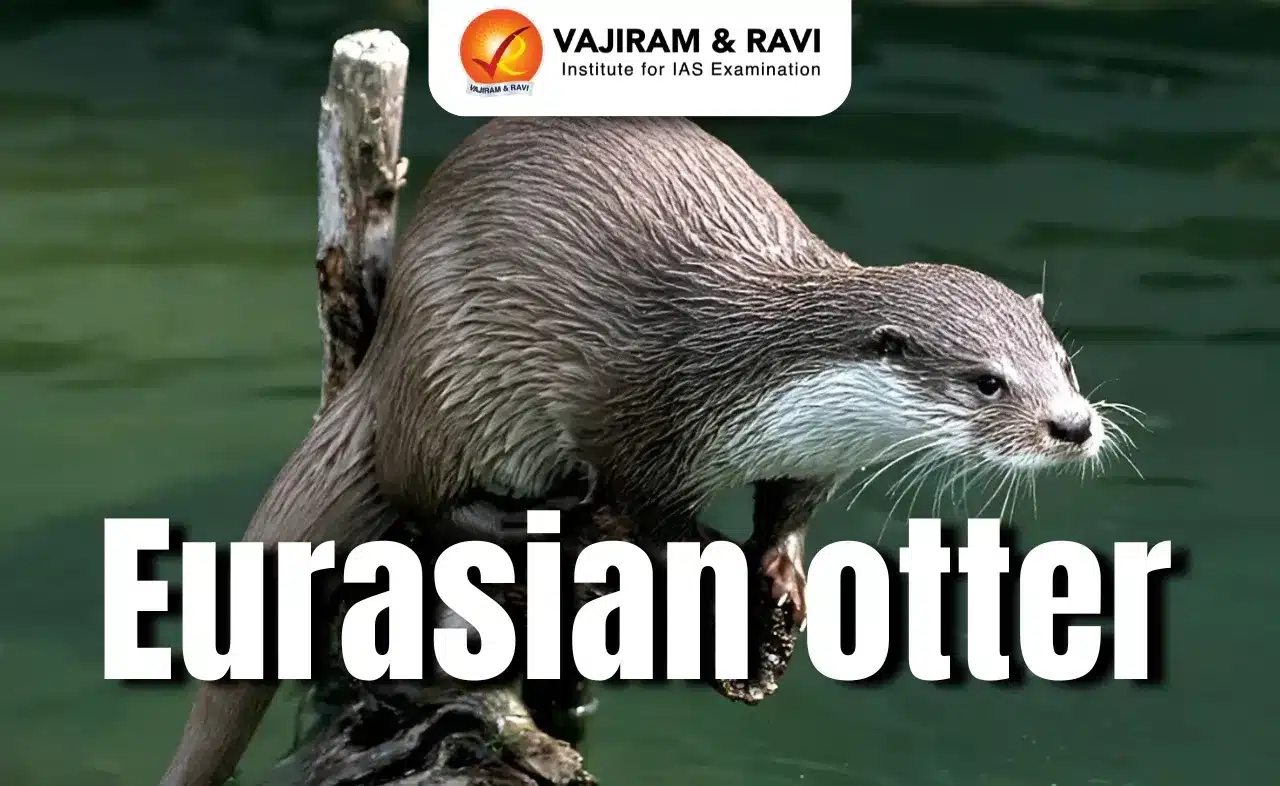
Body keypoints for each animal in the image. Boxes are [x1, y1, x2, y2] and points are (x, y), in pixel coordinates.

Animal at [160, 117, 1120, 786]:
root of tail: (382, 358)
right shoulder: (632, 416)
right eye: (988, 381)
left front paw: (782, 579)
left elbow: (789, 510)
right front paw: (722, 575)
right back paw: (526, 523)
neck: (755, 378)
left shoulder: (808, 455)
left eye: (1065, 363)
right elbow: (649, 518)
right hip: (452, 379)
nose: (1073, 425)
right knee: (423, 490)